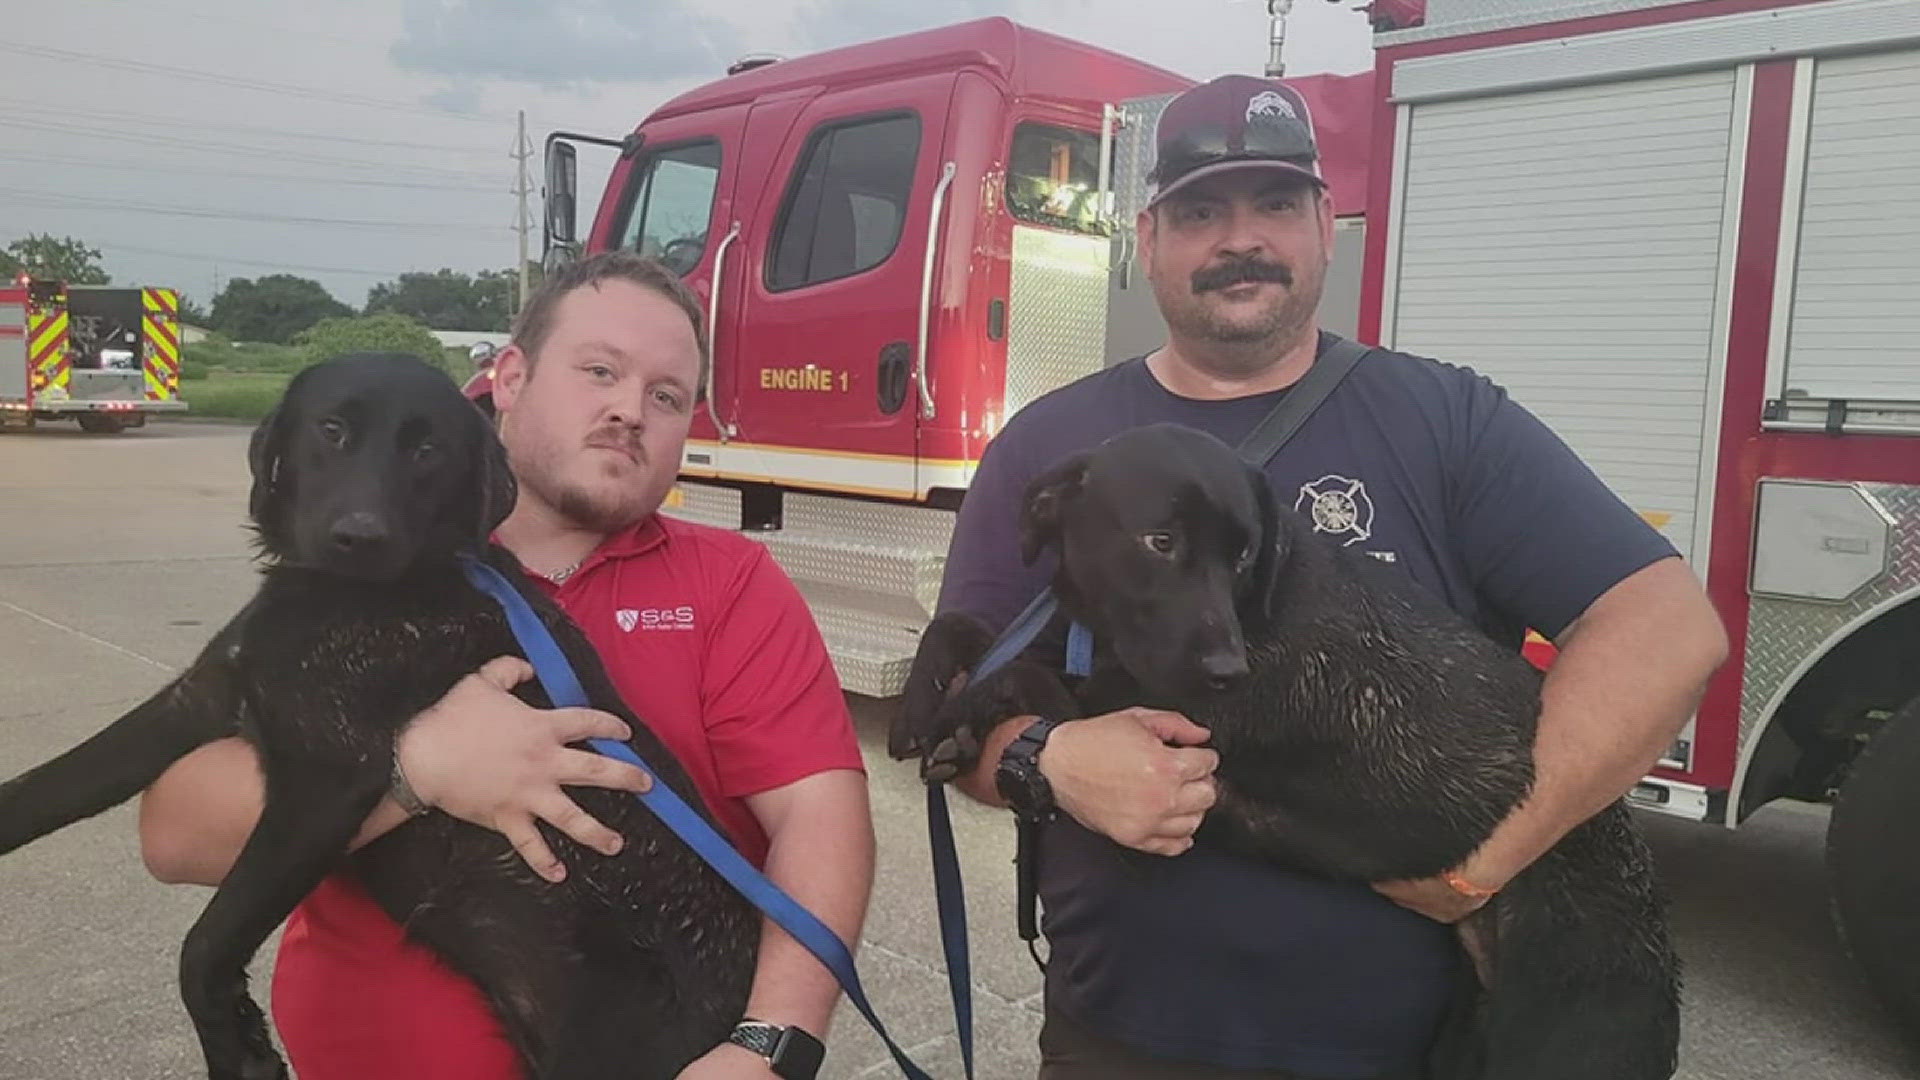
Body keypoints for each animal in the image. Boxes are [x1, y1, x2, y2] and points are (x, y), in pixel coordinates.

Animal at [0, 355, 756, 1076]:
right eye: (331, 430)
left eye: (428, 451)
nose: (358, 538)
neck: (346, 599)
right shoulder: (202, 697)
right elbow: (50, 784)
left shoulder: (327, 781)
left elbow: (204, 943)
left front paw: (240, 1050)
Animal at [890, 420, 1674, 1076]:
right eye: (1160, 541)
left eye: (1242, 556)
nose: (1228, 670)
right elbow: (967, 629)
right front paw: (924, 702)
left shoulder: (1141, 717)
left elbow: (1023, 675)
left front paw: (956, 714)